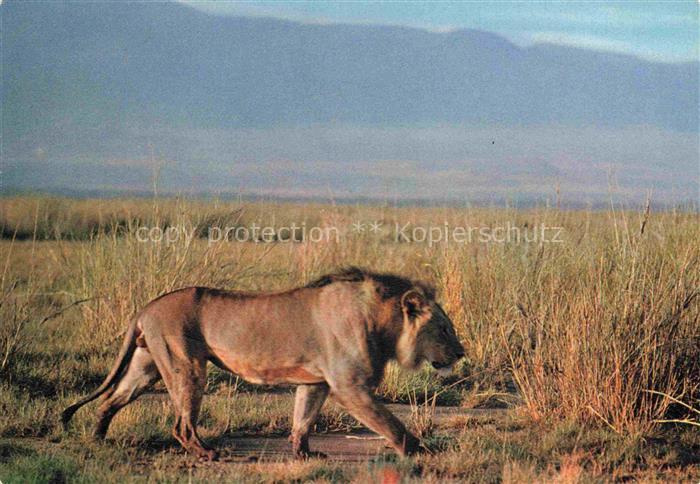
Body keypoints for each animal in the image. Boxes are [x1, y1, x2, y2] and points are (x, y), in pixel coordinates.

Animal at [61, 267, 465, 460]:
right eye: (444, 328)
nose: (462, 354)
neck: (383, 324)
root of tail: (146, 307)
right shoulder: (350, 386)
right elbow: (390, 423)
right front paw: (419, 451)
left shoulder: (316, 381)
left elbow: (303, 418)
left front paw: (305, 454)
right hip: (186, 367)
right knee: (182, 425)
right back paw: (208, 453)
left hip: (146, 365)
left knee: (110, 400)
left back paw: (97, 439)